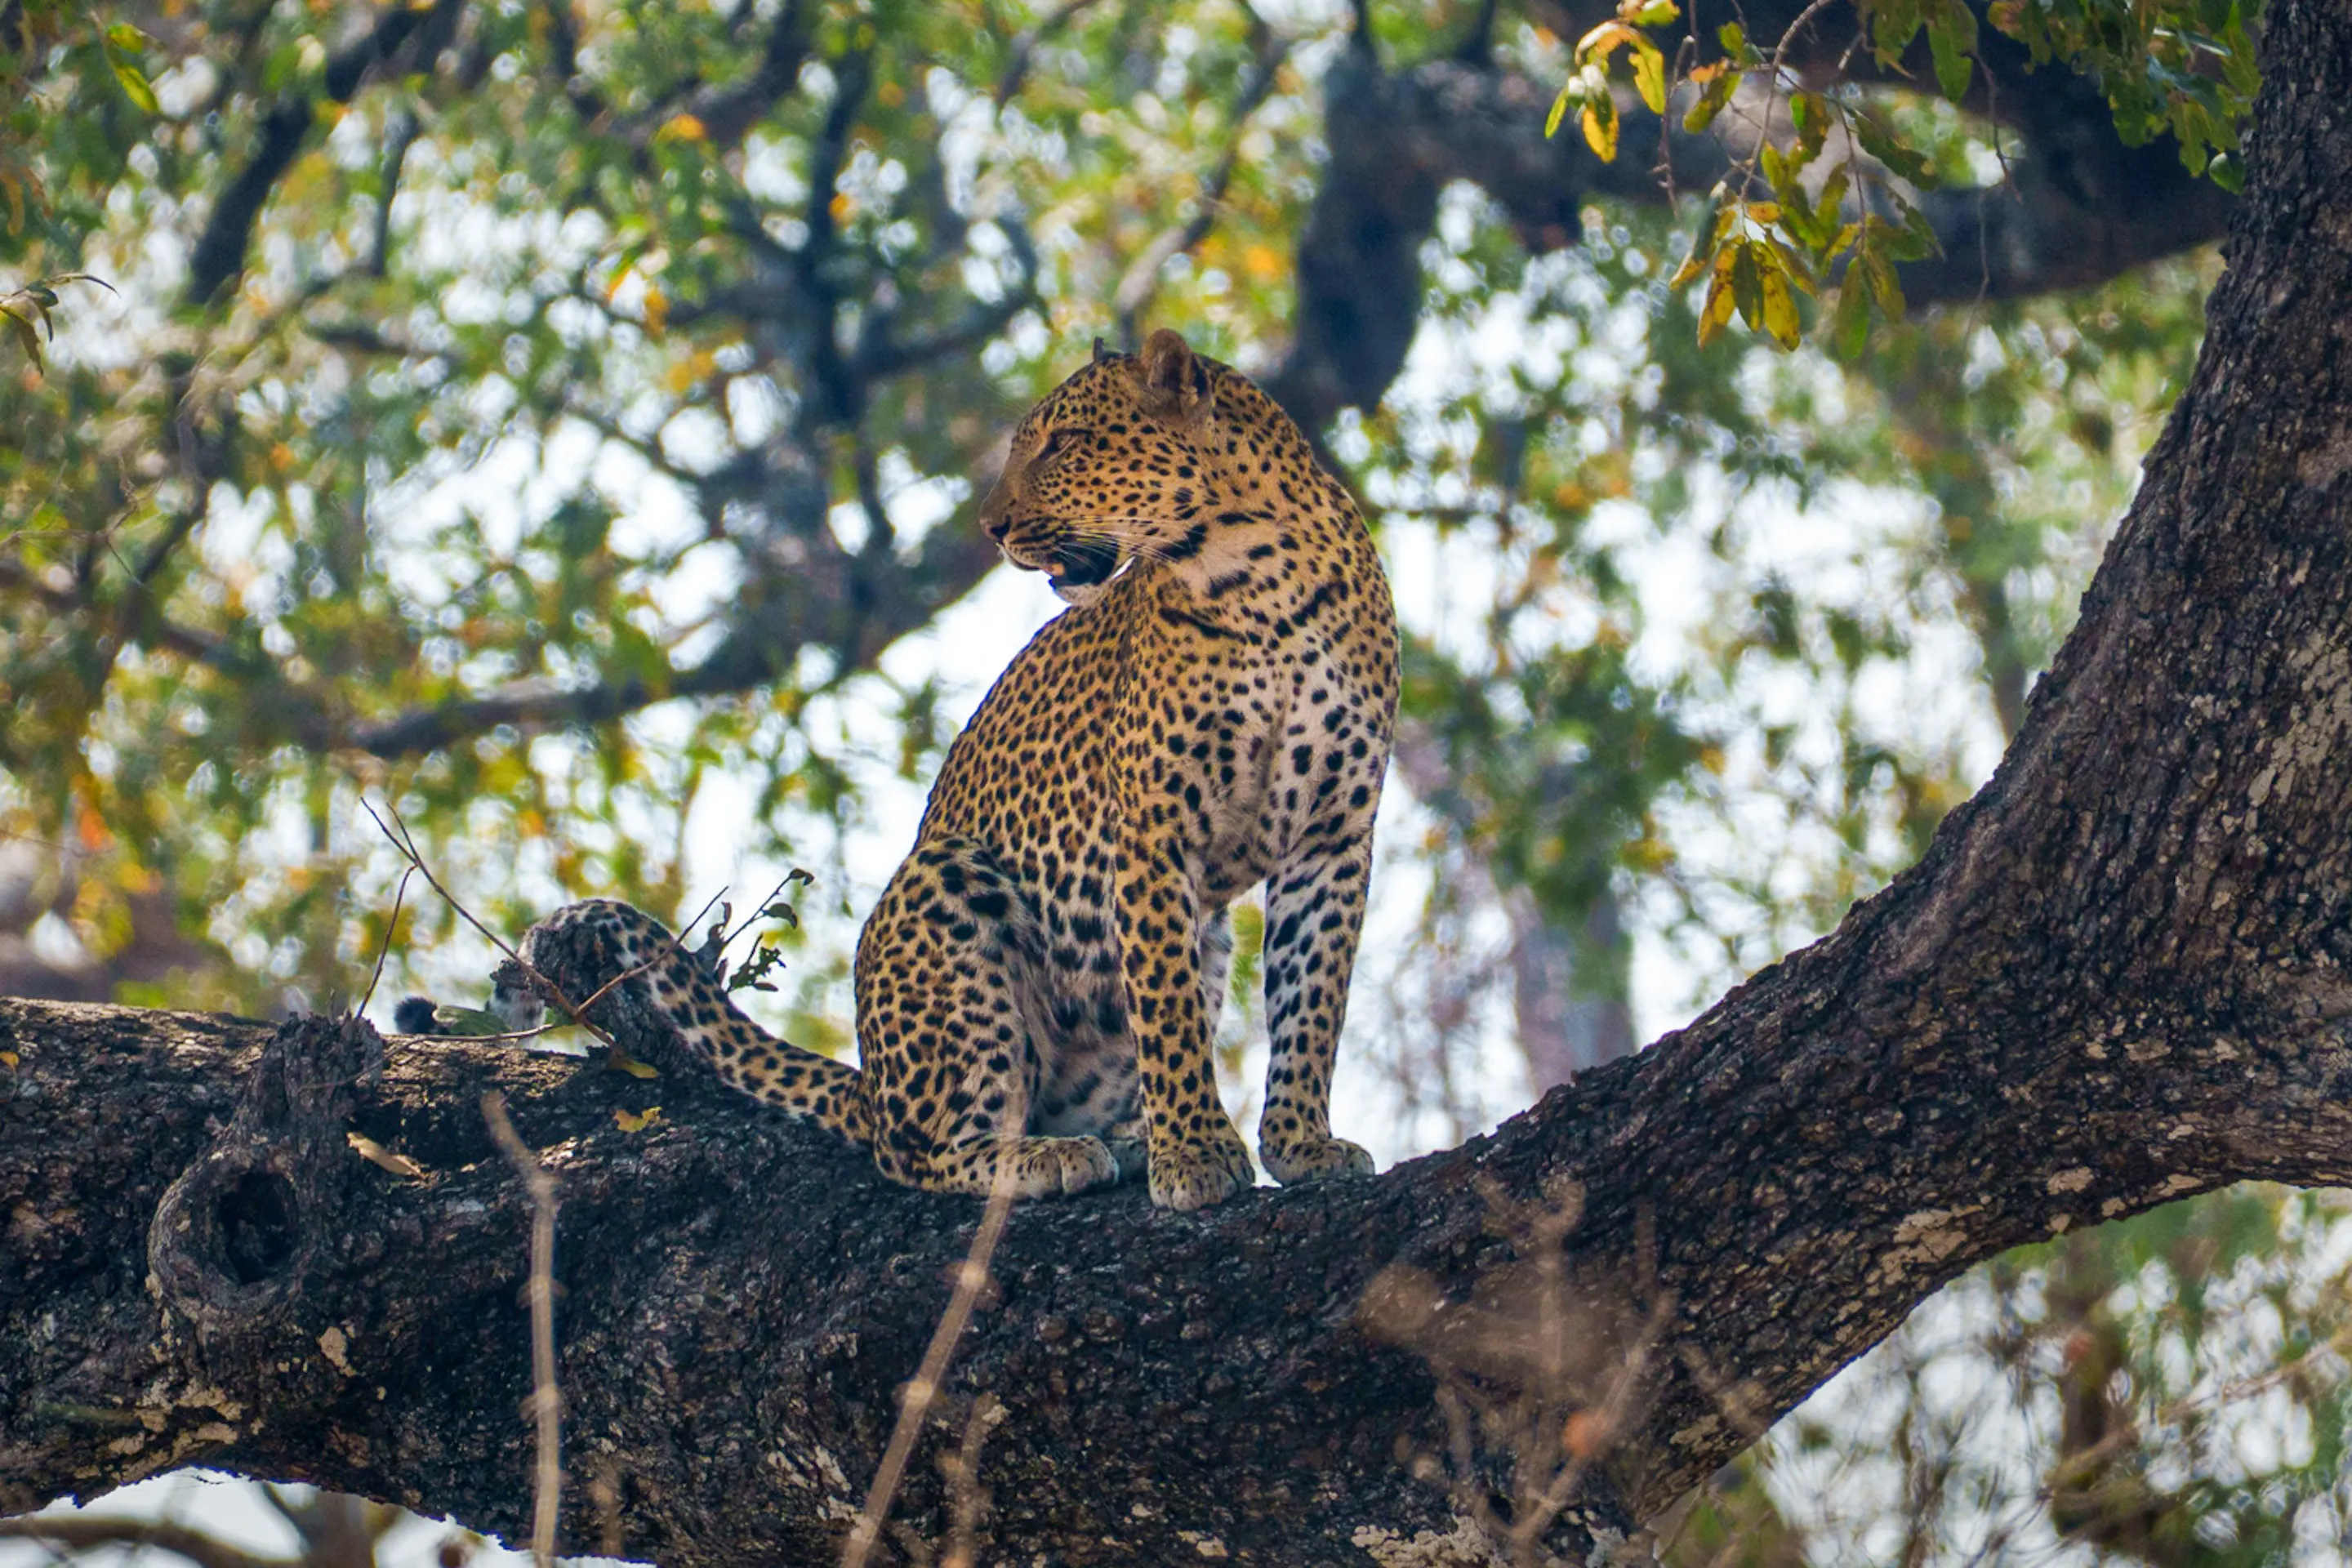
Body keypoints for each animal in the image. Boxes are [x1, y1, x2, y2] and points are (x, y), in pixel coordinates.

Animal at [426, 329, 1399, 1212]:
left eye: (1063, 443)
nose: (993, 527)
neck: (1258, 581)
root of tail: (871, 1082)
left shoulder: (1333, 835)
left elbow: (1311, 999)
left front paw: (1300, 1144)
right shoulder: (1153, 834)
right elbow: (1170, 1014)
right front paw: (1196, 1154)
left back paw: (1119, 1140)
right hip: (949, 886)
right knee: (918, 1150)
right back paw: (1044, 1156)